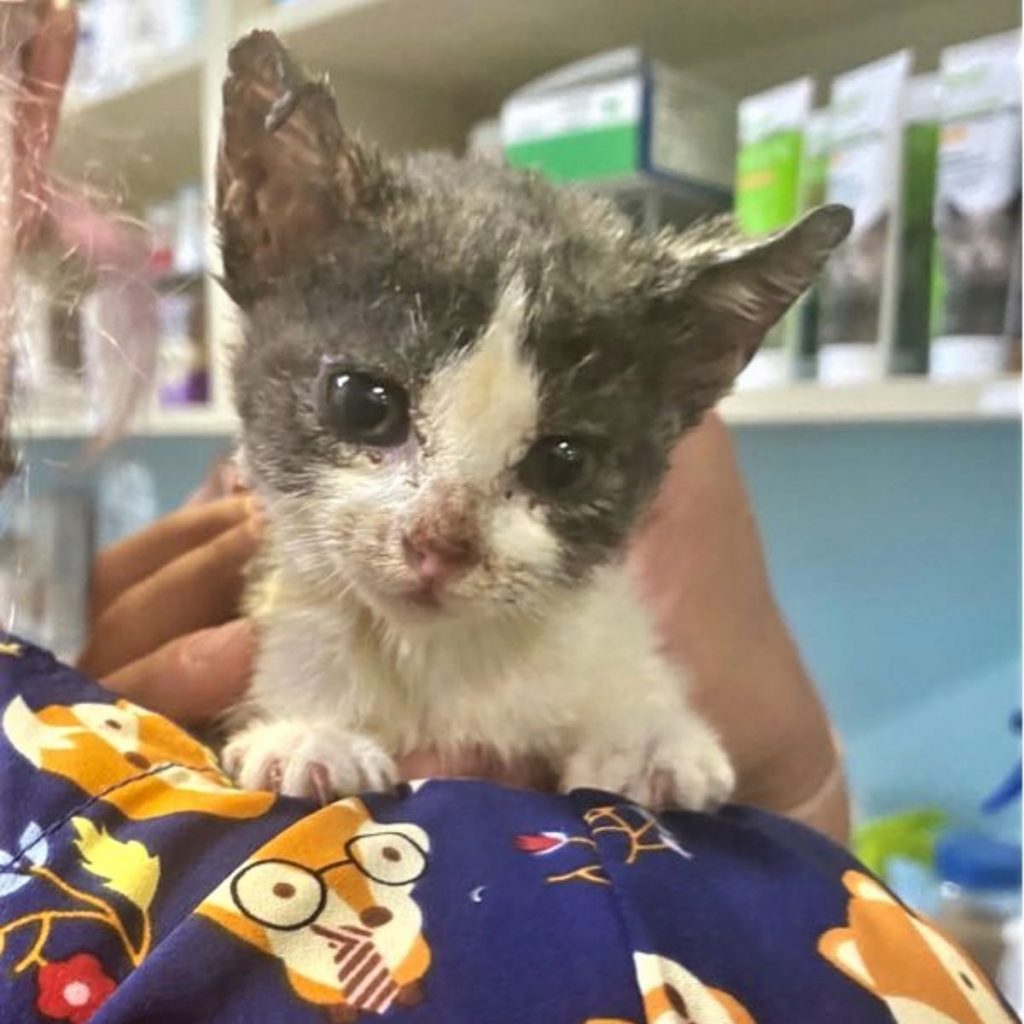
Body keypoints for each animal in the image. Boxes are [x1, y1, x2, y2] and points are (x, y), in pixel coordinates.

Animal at [218, 32, 856, 811]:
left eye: (563, 462)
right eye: (364, 403)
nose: (441, 544)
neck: (438, 661)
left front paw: (648, 739)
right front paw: (307, 733)